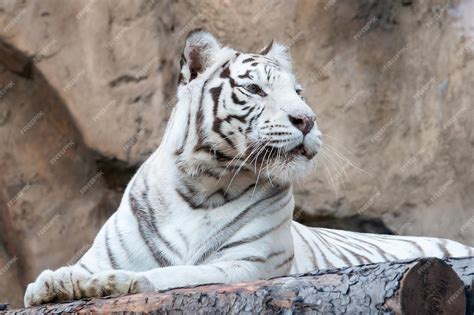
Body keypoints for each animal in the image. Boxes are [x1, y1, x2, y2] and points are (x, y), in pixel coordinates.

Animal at [23, 29, 474, 306]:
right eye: (255, 89)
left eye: (298, 93)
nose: (307, 120)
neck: (203, 185)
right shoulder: (102, 253)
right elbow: (73, 272)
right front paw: (51, 283)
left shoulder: (248, 264)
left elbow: (178, 274)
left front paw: (111, 284)